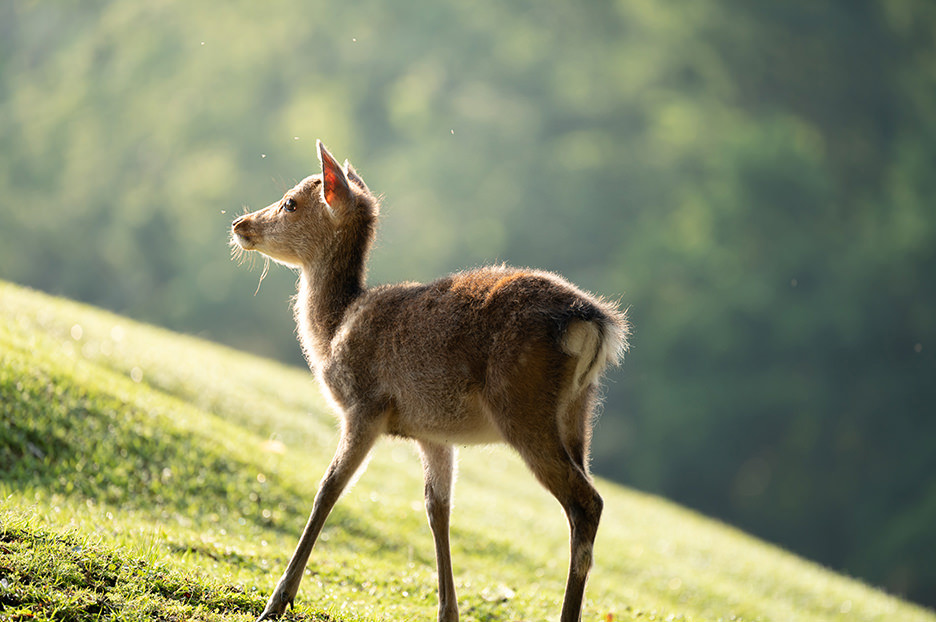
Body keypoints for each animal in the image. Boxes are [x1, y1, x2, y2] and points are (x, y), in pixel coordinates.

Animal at [230, 141, 632, 622]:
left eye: (290, 202)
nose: (239, 224)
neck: (333, 333)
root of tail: (594, 321)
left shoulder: (365, 407)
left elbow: (328, 489)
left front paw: (277, 601)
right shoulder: (432, 433)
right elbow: (437, 509)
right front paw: (447, 611)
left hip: (522, 405)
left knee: (586, 502)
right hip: (578, 414)